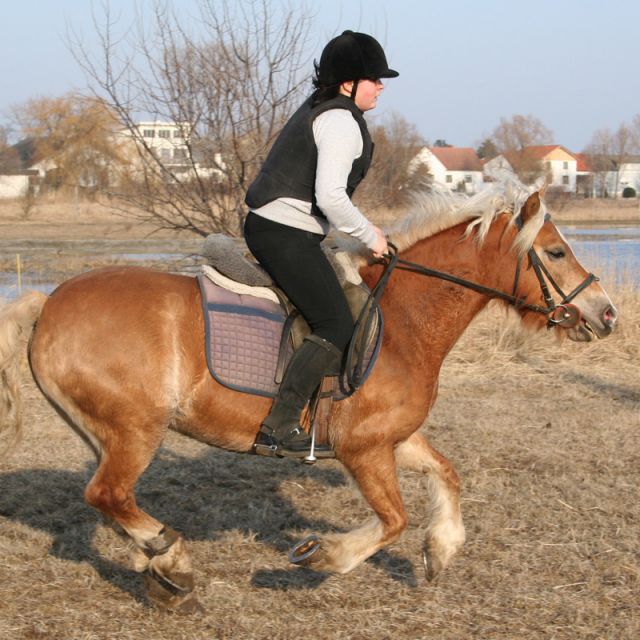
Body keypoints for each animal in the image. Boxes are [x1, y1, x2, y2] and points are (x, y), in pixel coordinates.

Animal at [1, 184, 620, 608]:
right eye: (556, 253)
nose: (607, 314)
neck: (403, 321)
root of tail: (47, 305)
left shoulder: (393, 438)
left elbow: (447, 474)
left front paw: (441, 549)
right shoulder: (363, 449)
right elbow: (392, 519)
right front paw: (324, 554)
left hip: (105, 433)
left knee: (112, 502)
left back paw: (157, 563)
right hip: (135, 430)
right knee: (107, 494)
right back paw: (173, 559)